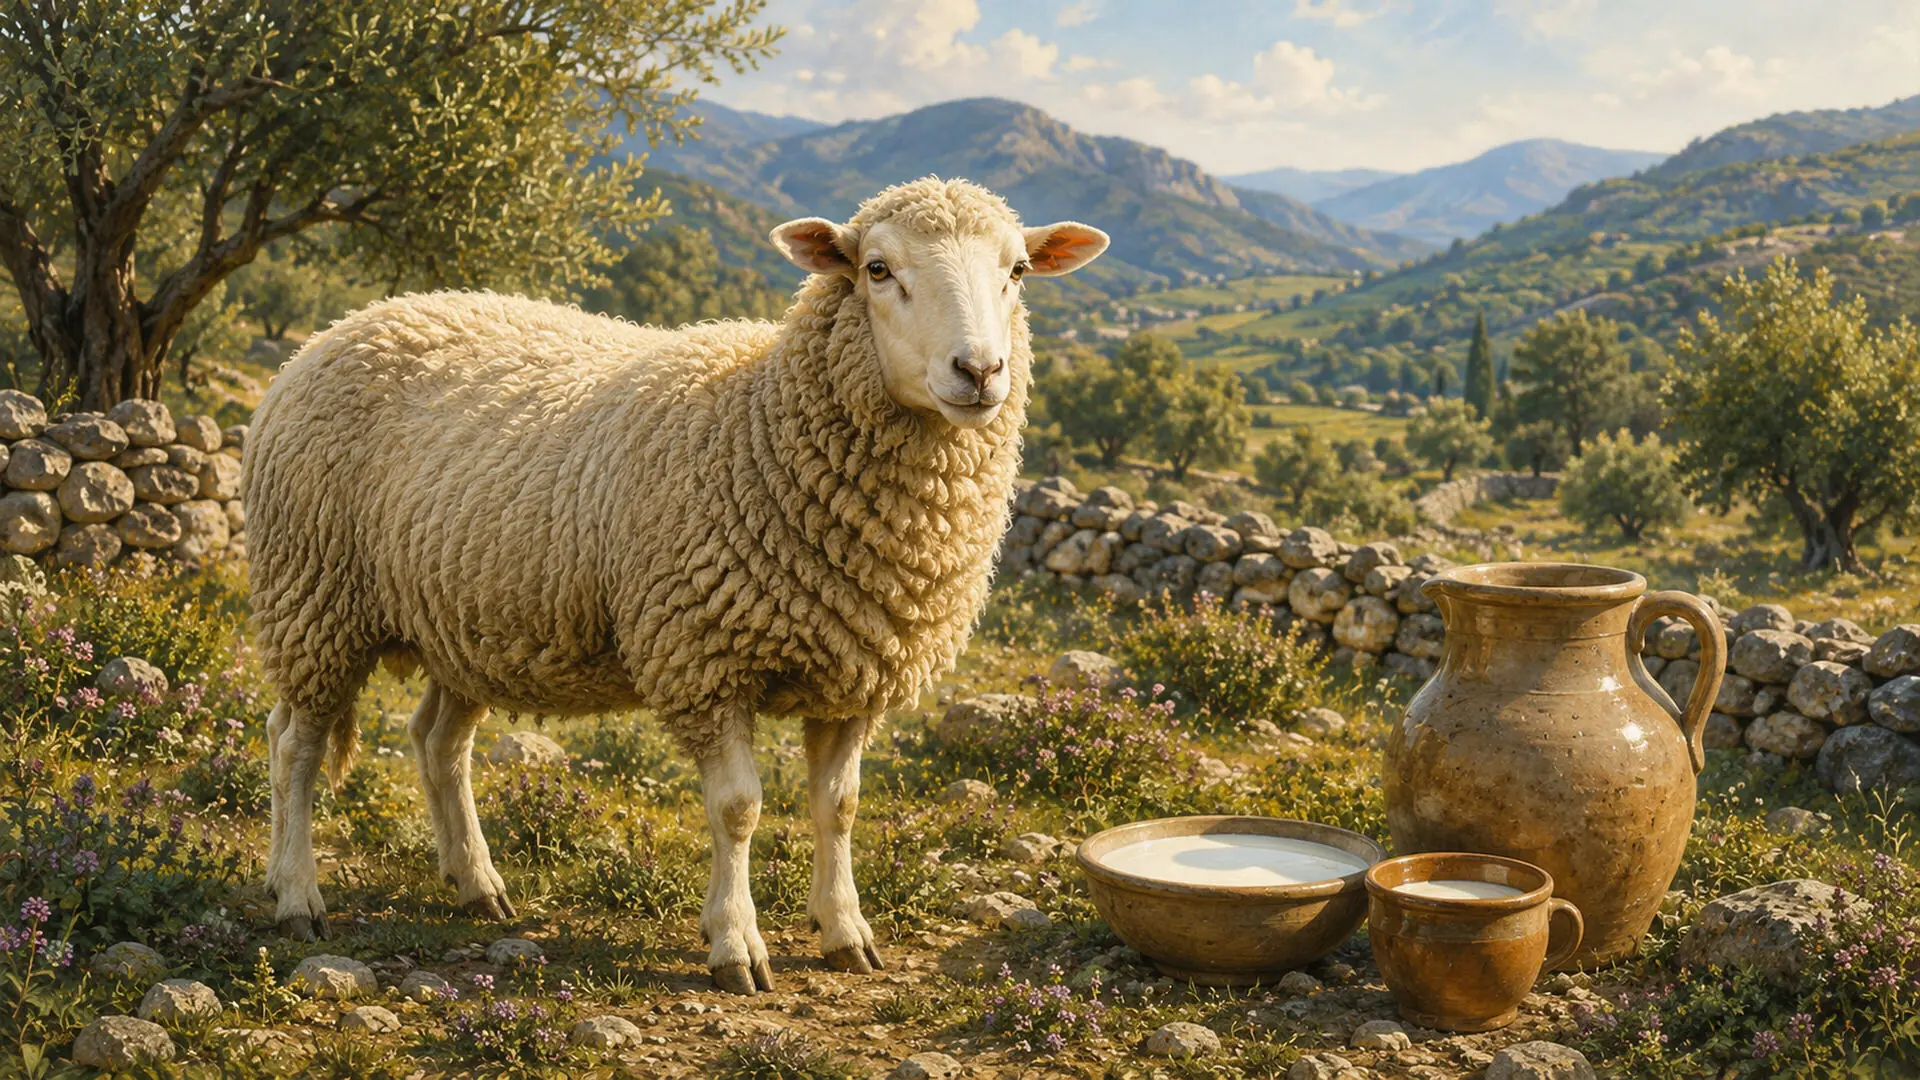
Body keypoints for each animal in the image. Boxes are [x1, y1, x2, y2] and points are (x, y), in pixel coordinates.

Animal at [244, 176, 1108, 993]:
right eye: (876, 269)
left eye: (1017, 271)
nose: (981, 371)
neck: (763, 418)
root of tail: (347, 325)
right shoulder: (704, 658)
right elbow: (739, 809)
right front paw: (736, 945)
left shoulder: (855, 670)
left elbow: (840, 807)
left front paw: (845, 932)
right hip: (313, 593)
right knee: (295, 745)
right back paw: (296, 896)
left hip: (468, 619)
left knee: (437, 745)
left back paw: (477, 884)